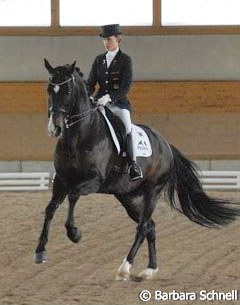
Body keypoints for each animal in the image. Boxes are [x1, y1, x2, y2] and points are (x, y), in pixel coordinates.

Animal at [34, 58, 240, 280]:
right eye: (49, 89)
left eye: (69, 90)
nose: (55, 128)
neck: (79, 135)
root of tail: (166, 145)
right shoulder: (61, 180)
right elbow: (50, 208)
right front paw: (40, 251)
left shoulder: (93, 181)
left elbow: (73, 195)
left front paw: (74, 233)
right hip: (128, 197)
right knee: (150, 226)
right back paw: (150, 269)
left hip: (152, 192)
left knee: (142, 227)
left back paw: (125, 267)